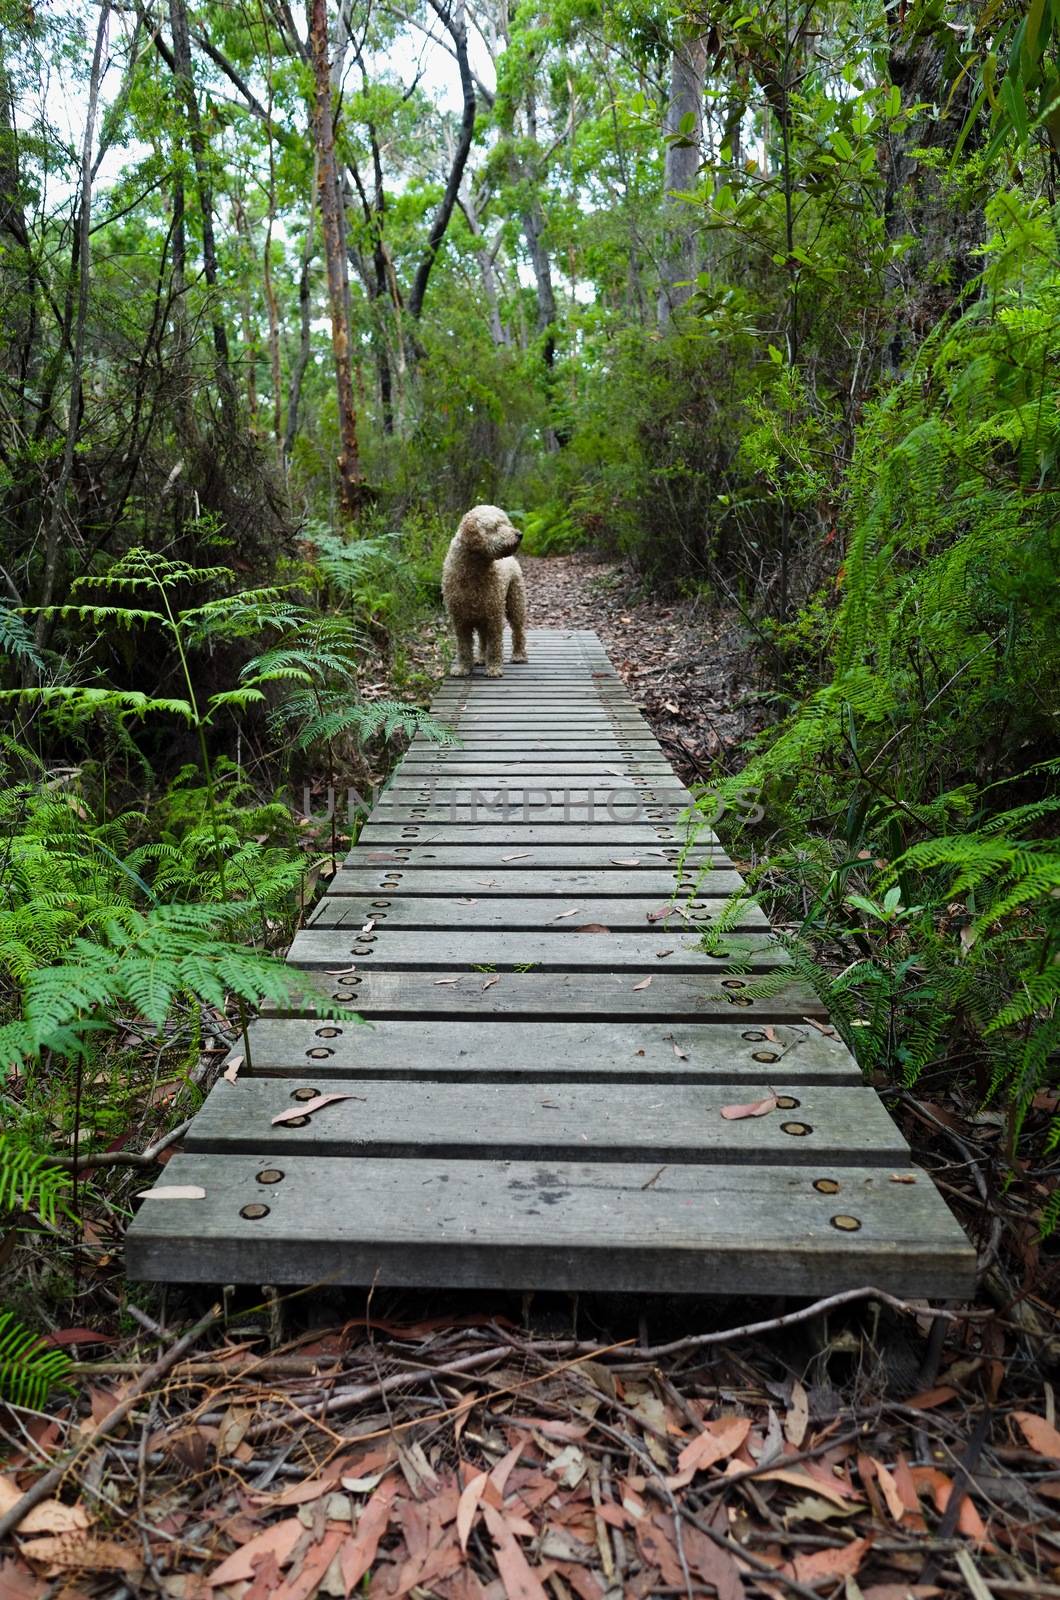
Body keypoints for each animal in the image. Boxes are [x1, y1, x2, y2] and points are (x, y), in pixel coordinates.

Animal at [445, 499, 531, 675]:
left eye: (506, 523)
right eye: (496, 526)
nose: (519, 534)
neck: (474, 571)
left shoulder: (494, 616)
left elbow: (495, 645)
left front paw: (494, 668)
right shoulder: (460, 619)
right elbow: (463, 647)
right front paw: (463, 667)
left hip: (515, 603)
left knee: (518, 630)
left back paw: (519, 655)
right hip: (480, 614)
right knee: (483, 638)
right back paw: (480, 658)